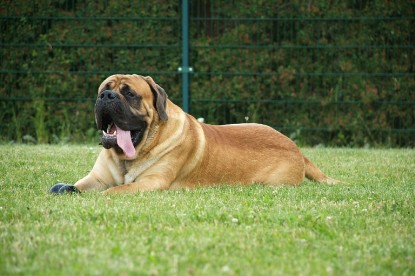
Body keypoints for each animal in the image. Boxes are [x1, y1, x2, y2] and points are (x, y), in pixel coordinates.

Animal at [50, 73, 340, 194]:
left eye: (129, 94)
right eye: (103, 90)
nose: (106, 97)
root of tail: (297, 150)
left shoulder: (151, 182)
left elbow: (114, 191)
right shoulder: (96, 178)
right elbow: (77, 186)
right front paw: (65, 190)